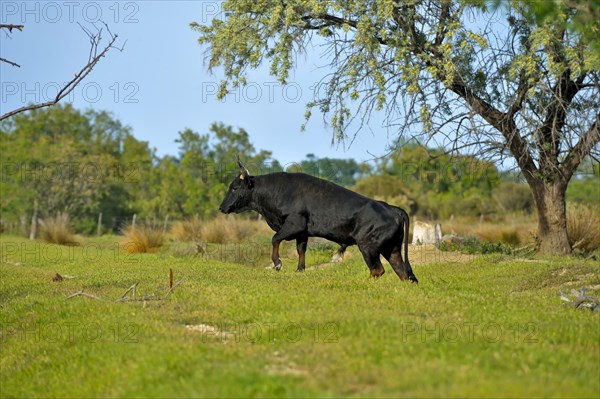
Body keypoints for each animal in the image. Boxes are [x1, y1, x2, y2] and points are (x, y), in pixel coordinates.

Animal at [218, 159, 420, 284]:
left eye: (234, 188)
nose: (221, 207)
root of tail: (391, 208)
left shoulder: (294, 225)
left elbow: (275, 239)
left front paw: (278, 263)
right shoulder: (302, 233)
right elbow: (301, 250)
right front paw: (299, 270)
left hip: (368, 246)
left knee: (378, 270)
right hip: (391, 249)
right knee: (402, 272)